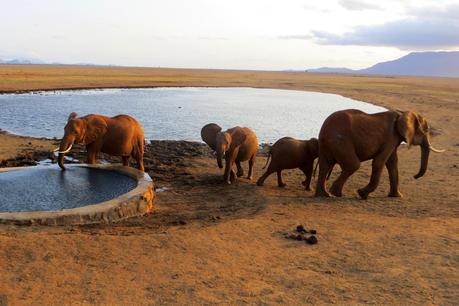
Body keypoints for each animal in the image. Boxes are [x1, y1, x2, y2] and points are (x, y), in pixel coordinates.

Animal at [314, 109, 444, 200]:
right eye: (425, 131)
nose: (414, 176)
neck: (402, 113)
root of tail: (323, 130)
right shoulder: (391, 137)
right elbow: (379, 162)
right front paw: (362, 194)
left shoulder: (394, 139)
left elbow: (392, 163)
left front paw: (396, 196)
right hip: (340, 141)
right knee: (353, 165)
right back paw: (335, 194)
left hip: (327, 144)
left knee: (325, 166)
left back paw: (324, 195)